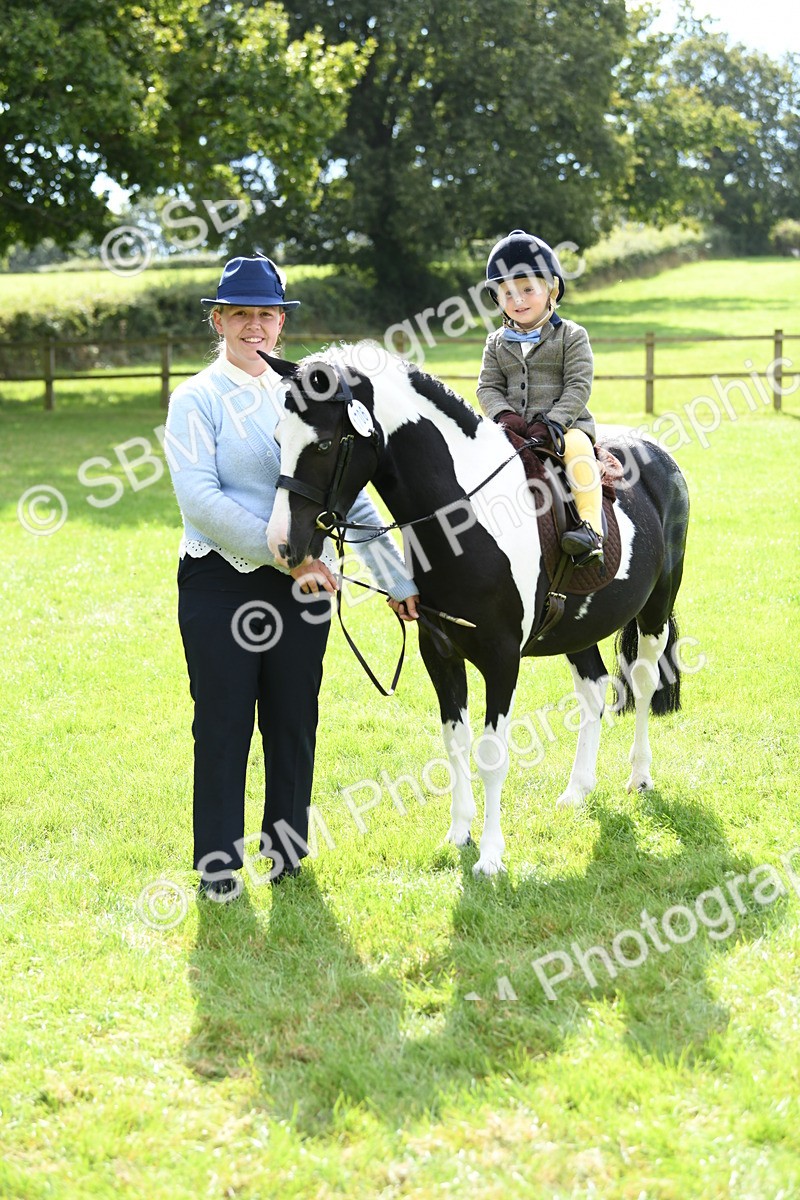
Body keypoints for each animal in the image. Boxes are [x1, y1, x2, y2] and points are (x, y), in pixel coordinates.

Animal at [263, 344, 690, 877]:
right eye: (278, 437)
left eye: (322, 446)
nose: (282, 544)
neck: (464, 515)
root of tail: (657, 454)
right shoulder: (439, 651)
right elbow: (456, 742)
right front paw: (459, 833)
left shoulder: (501, 659)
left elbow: (491, 754)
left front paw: (490, 855)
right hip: (578, 627)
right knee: (593, 692)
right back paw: (577, 791)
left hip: (655, 610)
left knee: (644, 682)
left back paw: (639, 776)